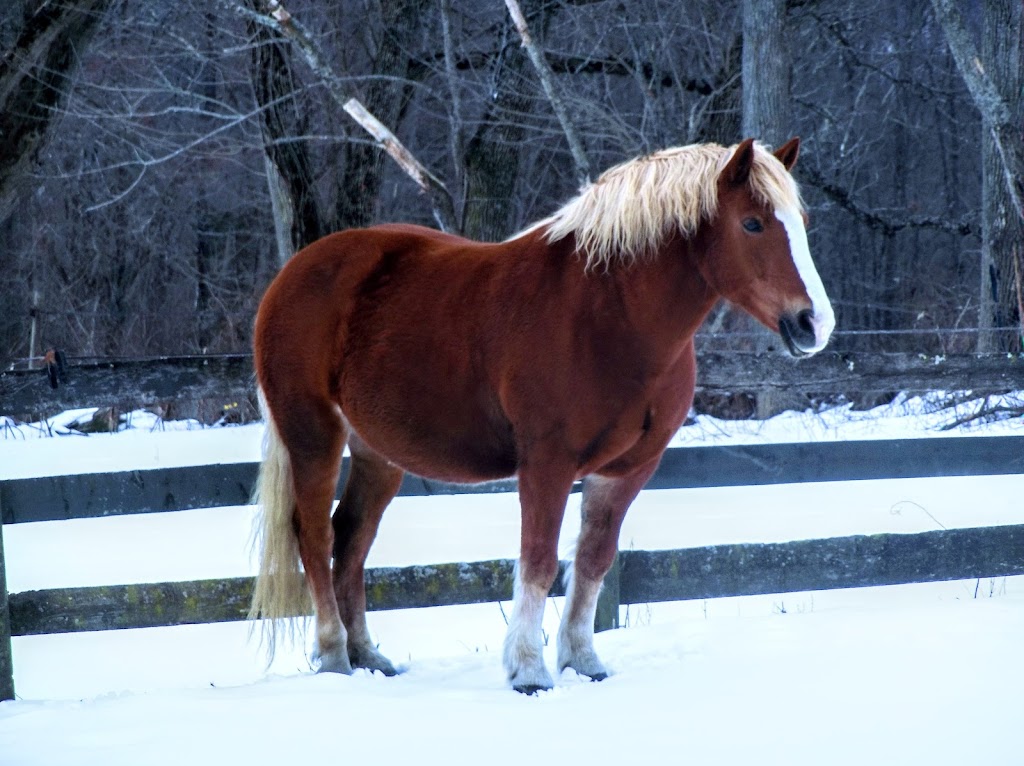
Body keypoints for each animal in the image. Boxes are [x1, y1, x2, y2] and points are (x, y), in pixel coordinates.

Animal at [247, 137, 831, 692]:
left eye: (803, 224)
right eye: (752, 222)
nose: (814, 324)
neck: (609, 314)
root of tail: (293, 273)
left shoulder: (626, 470)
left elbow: (593, 561)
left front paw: (585, 662)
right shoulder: (547, 464)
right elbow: (539, 561)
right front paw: (528, 671)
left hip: (378, 455)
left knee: (351, 540)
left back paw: (368, 656)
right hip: (314, 434)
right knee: (315, 536)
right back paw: (334, 657)